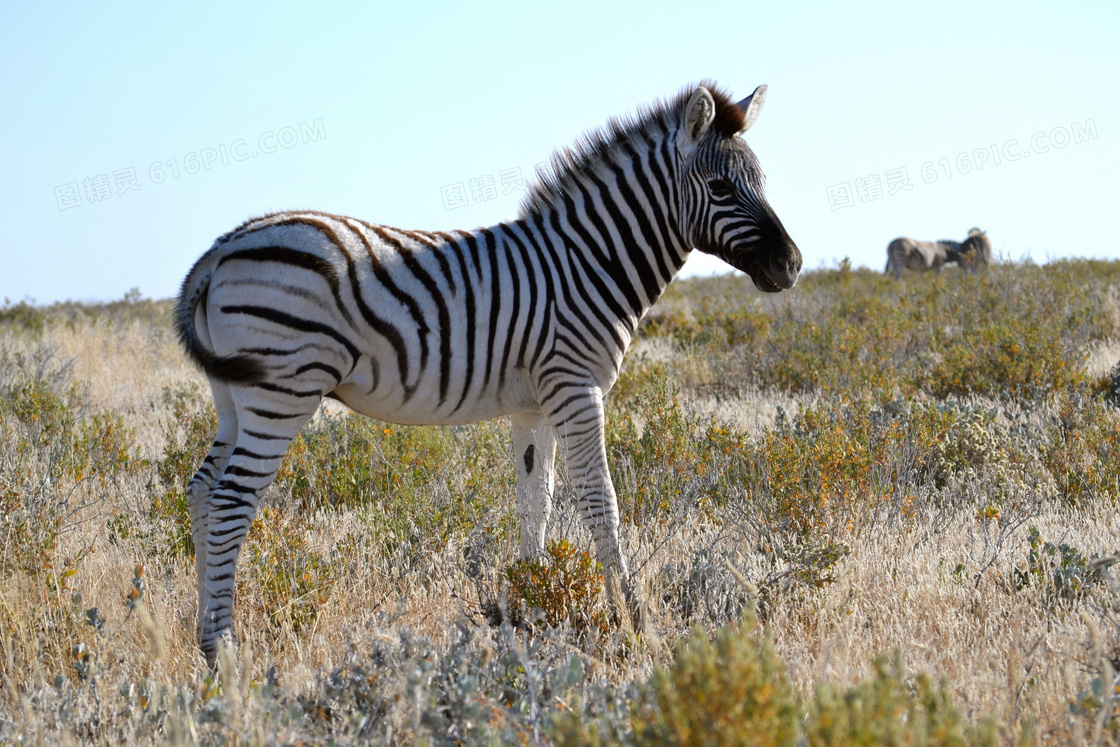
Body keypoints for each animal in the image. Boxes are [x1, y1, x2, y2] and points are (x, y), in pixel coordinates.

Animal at [174, 81, 801, 663]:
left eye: (764, 182)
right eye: (720, 188)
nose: (791, 265)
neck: (589, 262)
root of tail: (221, 249)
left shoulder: (534, 404)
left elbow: (536, 503)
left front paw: (530, 610)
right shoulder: (577, 388)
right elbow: (601, 500)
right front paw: (635, 622)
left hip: (233, 395)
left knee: (202, 494)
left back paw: (203, 642)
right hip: (282, 390)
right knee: (230, 502)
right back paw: (227, 655)